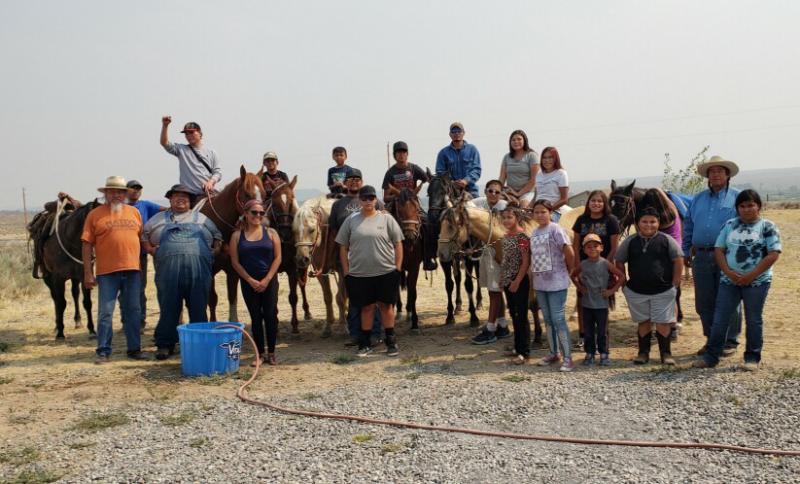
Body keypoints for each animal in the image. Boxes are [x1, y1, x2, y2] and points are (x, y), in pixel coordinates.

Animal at [200, 165, 266, 322]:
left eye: (264, 194)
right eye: (247, 194)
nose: (260, 216)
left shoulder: (233, 270)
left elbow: (233, 298)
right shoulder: (209, 271)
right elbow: (212, 299)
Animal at [292, 195, 346, 334]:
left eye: (311, 230)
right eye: (294, 231)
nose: (302, 259)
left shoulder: (343, 270)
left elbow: (340, 297)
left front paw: (343, 325)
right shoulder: (320, 272)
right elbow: (328, 297)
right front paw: (328, 326)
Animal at [432, 170, 482, 326]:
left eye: (443, 191)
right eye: (428, 192)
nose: (433, 215)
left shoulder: (469, 257)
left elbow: (469, 284)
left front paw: (474, 317)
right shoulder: (446, 259)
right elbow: (450, 284)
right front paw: (449, 316)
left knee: (478, 276)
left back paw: (479, 302)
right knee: (458, 278)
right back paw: (458, 306)